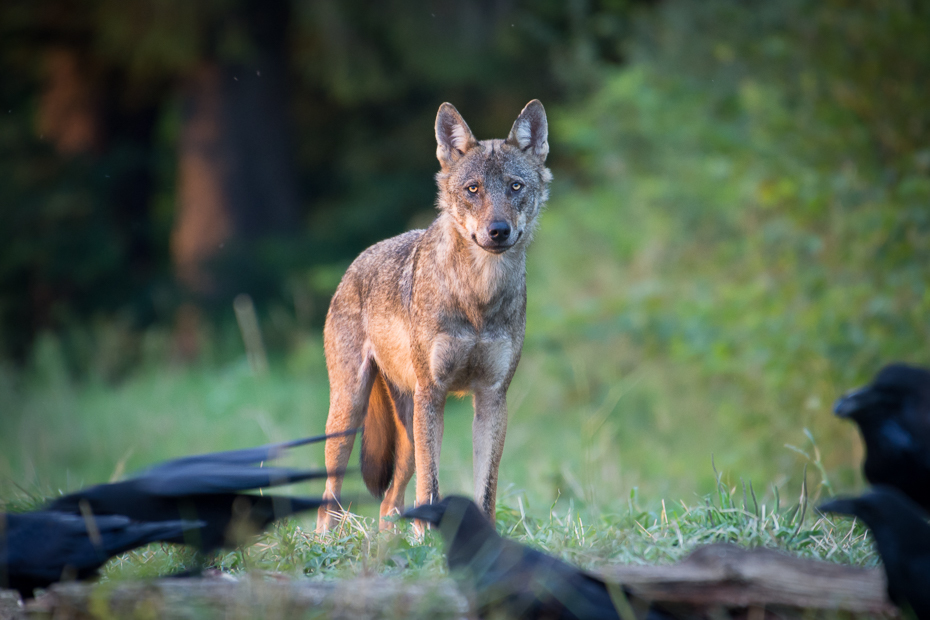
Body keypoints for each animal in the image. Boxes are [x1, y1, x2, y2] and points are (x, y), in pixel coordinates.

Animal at [316, 99, 548, 532]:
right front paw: (429, 538)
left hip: (406, 432)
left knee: (389, 503)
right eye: (473, 189)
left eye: (515, 186)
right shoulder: (434, 393)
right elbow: (432, 486)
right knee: (330, 498)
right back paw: (325, 542)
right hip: (352, 413)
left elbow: (486, 489)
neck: (477, 297)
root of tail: (356, 262)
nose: (498, 230)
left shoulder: (492, 399)